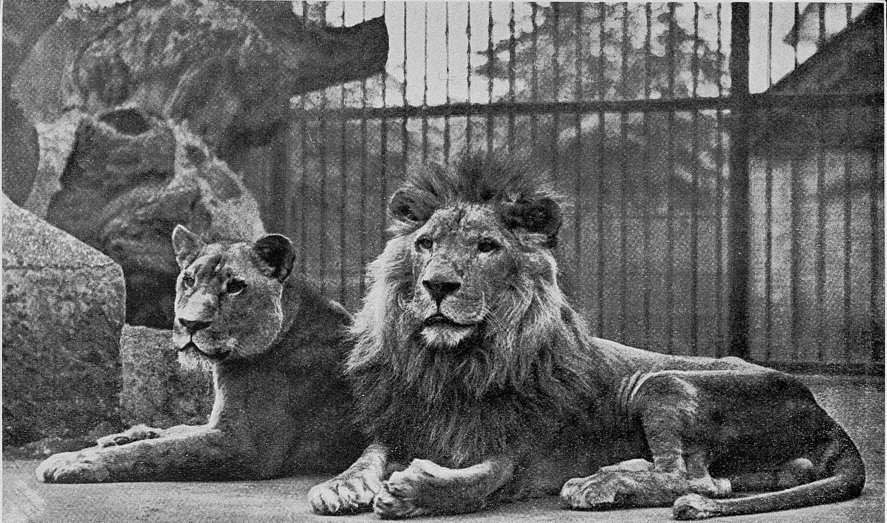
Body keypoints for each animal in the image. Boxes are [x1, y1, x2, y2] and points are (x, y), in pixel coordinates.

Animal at [37, 225, 364, 484]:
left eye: (235, 286)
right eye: (189, 280)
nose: (191, 323)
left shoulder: (246, 446)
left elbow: (161, 452)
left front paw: (79, 462)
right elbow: (176, 431)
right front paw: (111, 440)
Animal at [308, 154, 864, 516]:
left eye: (487, 247)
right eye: (425, 244)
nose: (438, 285)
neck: (452, 363)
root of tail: (823, 411)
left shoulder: (519, 446)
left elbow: (481, 479)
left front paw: (412, 490)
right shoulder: (404, 421)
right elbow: (369, 456)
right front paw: (340, 486)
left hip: (660, 381)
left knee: (692, 478)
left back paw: (598, 484)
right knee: (721, 481)